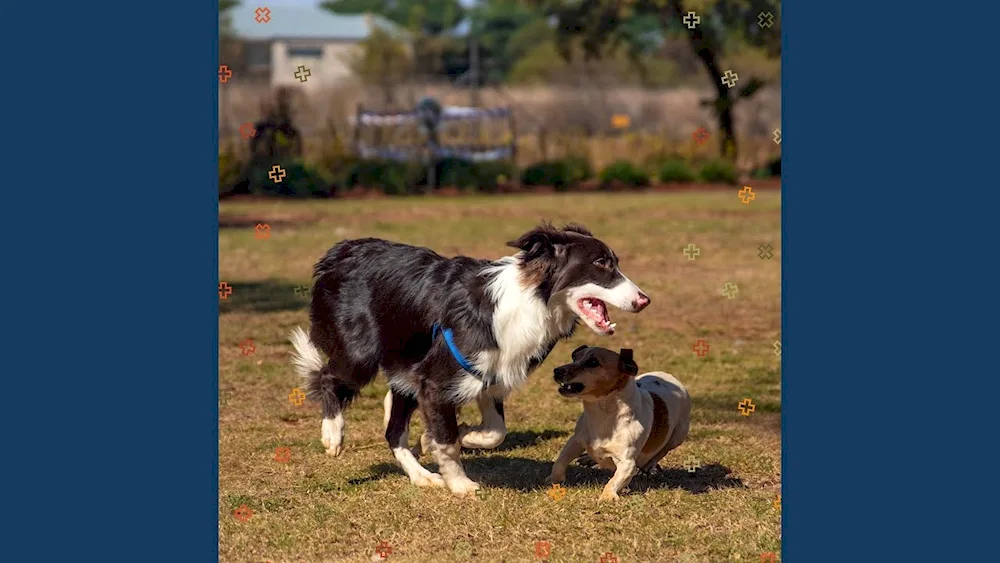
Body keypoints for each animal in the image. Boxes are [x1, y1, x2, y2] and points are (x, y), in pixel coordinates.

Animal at [292, 223, 648, 496]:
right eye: (601, 263)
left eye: (614, 262)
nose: (644, 300)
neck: (532, 301)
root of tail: (340, 251)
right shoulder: (436, 381)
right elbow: (449, 441)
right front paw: (460, 483)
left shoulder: (490, 375)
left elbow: (494, 431)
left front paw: (460, 436)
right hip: (360, 355)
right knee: (328, 377)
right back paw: (333, 433)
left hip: (406, 368)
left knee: (394, 430)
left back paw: (421, 475)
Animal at [548, 346, 688, 500]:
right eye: (574, 357)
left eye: (593, 362)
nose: (557, 370)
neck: (602, 415)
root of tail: (672, 377)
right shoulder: (576, 441)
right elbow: (560, 461)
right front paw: (554, 480)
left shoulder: (627, 463)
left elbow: (614, 480)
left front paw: (607, 496)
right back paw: (588, 458)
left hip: (678, 435)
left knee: (662, 451)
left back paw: (649, 467)